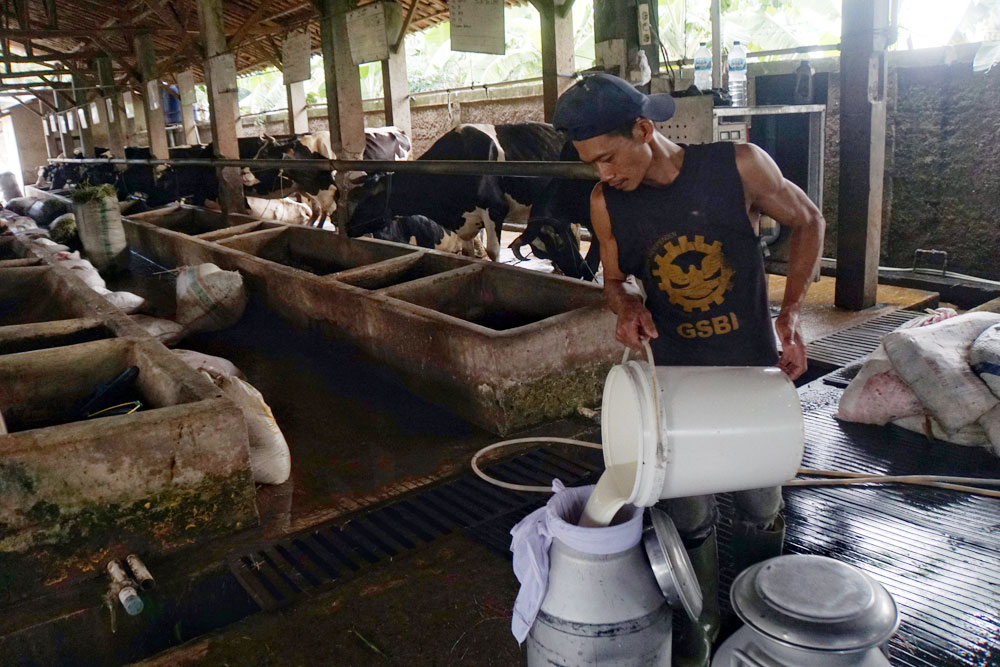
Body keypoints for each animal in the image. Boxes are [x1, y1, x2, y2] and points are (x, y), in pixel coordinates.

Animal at [346, 122, 564, 260]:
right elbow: (468, 254)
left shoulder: (495, 209)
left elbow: (493, 252)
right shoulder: (466, 223)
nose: (347, 228)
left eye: (366, 199)